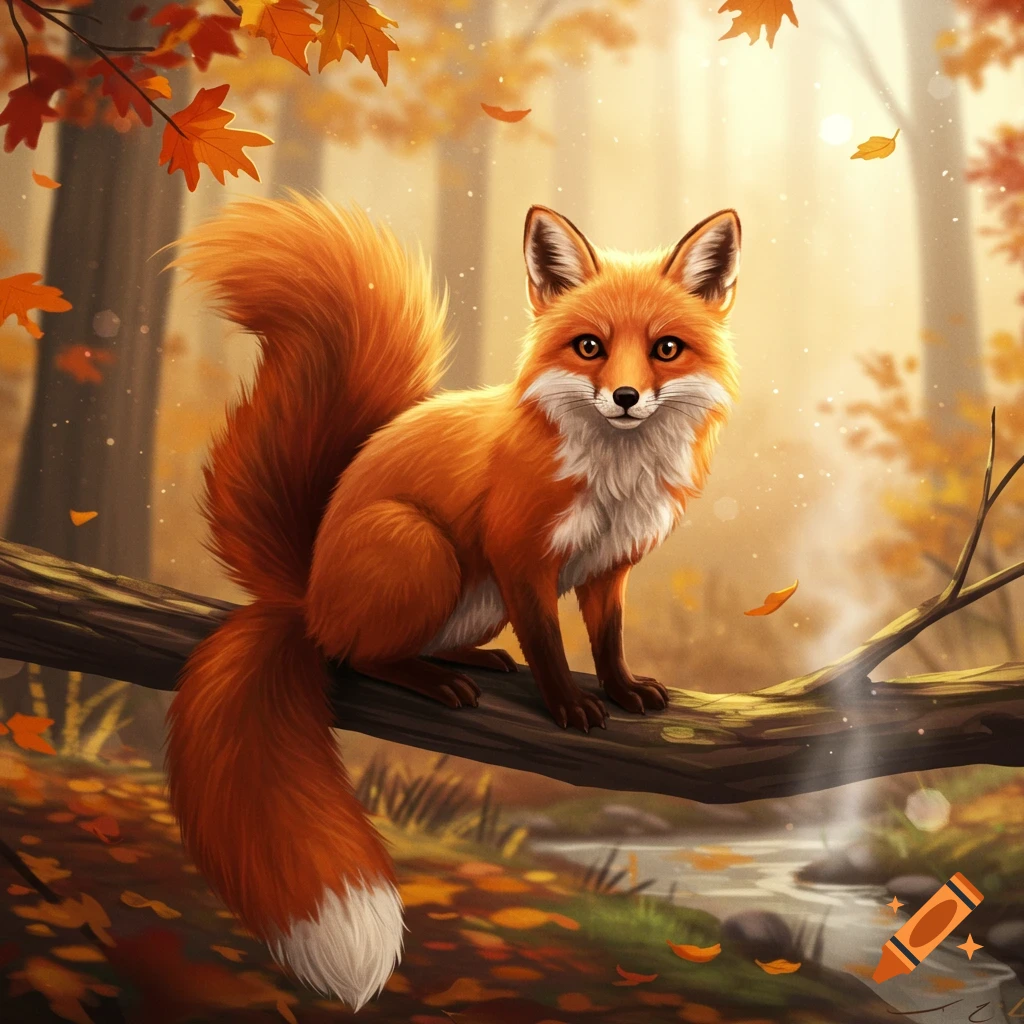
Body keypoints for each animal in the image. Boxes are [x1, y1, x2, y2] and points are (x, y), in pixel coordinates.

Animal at [166, 196, 741, 1009]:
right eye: (590, 347)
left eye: (666, 349)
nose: (626, 398)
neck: (611, 473)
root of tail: (304, 592)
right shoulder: (520, 555)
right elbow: (551, 647)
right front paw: (568, 707)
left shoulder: (608, 567)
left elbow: (608, 642)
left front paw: (624, 690)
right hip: (424, 548)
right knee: (355, 654)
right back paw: (432, 680)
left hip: (473, 595)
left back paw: (468, 660)